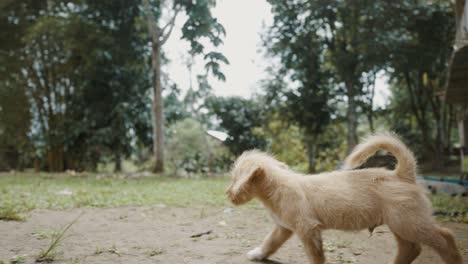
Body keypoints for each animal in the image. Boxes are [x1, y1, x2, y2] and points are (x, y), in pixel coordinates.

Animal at [225, 134, 462, 264]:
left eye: (235, 178)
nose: (227, 194)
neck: (277, 186)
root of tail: (401, 174)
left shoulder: (308, 229)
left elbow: (316, 256)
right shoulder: (284, 227)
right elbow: (270, 242)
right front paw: (258, 254)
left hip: (409, 222)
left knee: (445, 237)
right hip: (400, 224)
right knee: (411, 249)